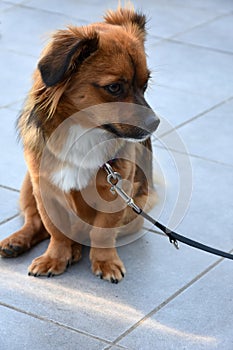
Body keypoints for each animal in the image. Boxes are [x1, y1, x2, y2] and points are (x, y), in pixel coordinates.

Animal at [0, 6, 159, 284]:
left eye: (145, 84)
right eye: (114, 87)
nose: (155, 123)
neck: (84, 130)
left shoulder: (116, 189)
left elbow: (102, 232)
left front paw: (105, 262)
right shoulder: (44, 187)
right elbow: (54, 229)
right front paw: (56, 257)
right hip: (27, 186)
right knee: (34, 221)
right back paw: (17, 242)